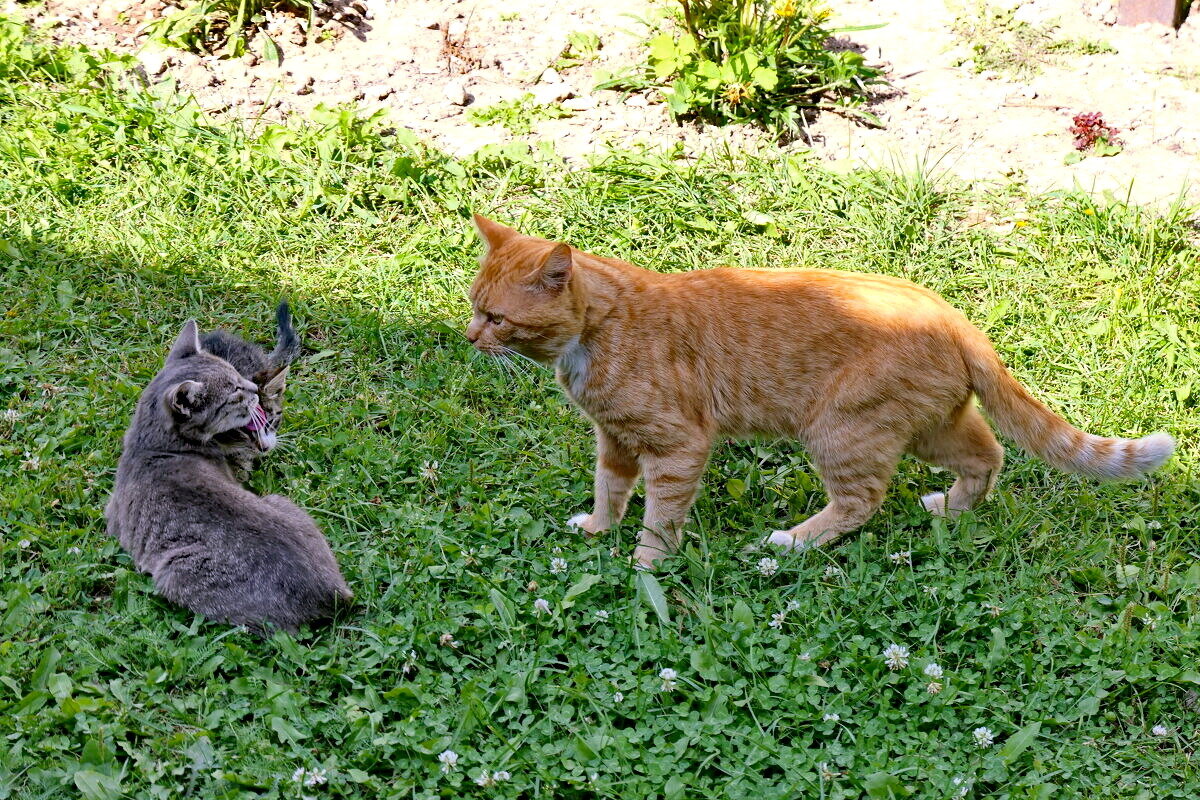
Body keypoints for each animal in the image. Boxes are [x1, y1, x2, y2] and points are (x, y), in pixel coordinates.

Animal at [106, 316, 350, 633]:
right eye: (234, 391)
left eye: (237, 375)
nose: (253, 388)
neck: (152, 443)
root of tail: (335, 594)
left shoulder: (113, 519)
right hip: (278, 501)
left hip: (173, 573)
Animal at [465, 215, 1171, 566]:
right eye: (473, 307)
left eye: (497, 317)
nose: (470, 336)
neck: (597, 331)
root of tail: (951, 313)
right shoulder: (613, 440)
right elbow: (610, 491)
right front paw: (598, 530)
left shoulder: (677, 446)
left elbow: (660, 517)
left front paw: (645, 566)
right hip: (931, 427)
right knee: (988, 456)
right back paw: (950, 509)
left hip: (841, 431)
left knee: (862, 501)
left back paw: (792, 542)